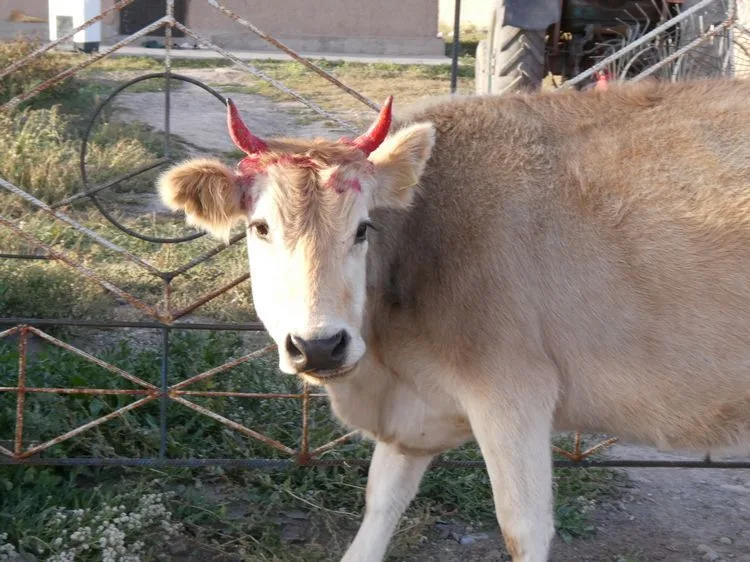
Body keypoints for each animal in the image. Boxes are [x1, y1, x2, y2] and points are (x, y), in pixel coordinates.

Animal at [157, 79, 750, 562]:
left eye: (364, 228)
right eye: (259, 228)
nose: (320, 346)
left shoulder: (513, 392)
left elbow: (523, 528)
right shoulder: (413, 416)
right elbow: (379, 505)